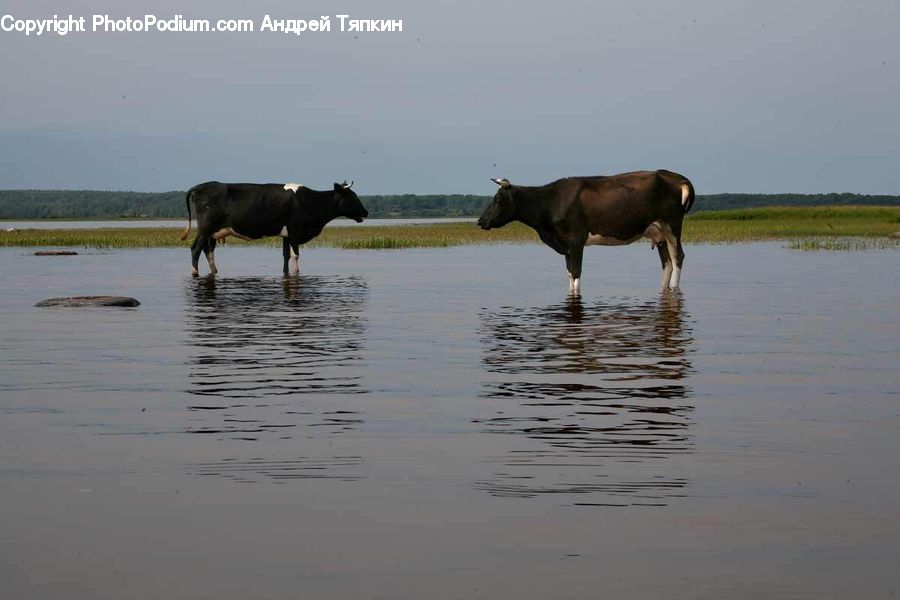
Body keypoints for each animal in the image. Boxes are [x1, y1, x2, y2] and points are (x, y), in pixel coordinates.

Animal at [180, 181, 368, 276]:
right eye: (353, 197)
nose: (366, 212)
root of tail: (200, 186)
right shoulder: (294, 231)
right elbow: (295, 256)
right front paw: (297, 272)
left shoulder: (285, 235)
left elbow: (285, 256)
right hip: (204, 228)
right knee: (195, 248)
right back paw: (194, 272)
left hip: (213, 232)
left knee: (208, 251)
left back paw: (215, 271)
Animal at [477, 170, 695, 294]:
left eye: (498, 200)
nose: (480, 221)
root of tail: (675, 176)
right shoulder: (565, 244)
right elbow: (569, 274)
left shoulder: (576, 240)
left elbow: (576, 274)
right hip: (659, 232)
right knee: (667, 262)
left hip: (672, 224)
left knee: (678, 257)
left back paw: (675, 288)